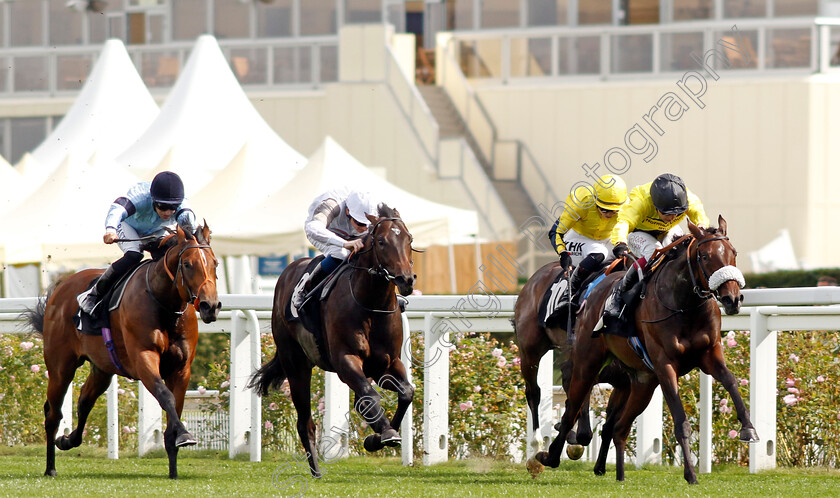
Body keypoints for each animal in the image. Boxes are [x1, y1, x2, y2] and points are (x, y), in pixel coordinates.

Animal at [26, 226, 221, 478]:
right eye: (187, 264)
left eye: (215, 263)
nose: (210, 306)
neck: (163, 302)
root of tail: (61, 288)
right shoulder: (143, 358)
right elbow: (165, 395)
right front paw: (185, 436)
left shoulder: (181, 368)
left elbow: (174, 409)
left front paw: (174, 468)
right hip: (61, 367)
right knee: (53, 414)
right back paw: (50, 467)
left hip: (102, 368)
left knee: (85, 400)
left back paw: (68, 440)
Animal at [251, 204, 418, 476]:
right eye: (381, 241)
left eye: (409, 238)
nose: (406, 279)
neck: (371, 305)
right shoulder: (345, 361)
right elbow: (369, 396)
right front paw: (384, 434)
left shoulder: (388, 363)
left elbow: (406, 392)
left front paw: (377, 438)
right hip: (295, 365)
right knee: (305, 421)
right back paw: (316, 469)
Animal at [516, 262, 628, 462]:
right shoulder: (582, 369)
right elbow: (582, 426)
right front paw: (569, 434)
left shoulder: (624, 380)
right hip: (530, 352)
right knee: (533, 392)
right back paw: (537, 442)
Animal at [536, 217, 756, 482]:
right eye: (704, 256)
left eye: (733, 253)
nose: (732, 299)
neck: (684, 305)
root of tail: (593, 292)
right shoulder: (665, 365)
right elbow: (680, 420)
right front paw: (691, 474)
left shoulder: (710, 355)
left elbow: (731, 381)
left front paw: (748, 428)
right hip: (588, 364)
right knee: (571, 409)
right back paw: (549, 456)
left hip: (642, 383)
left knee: (618, 427)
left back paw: (618, 475)